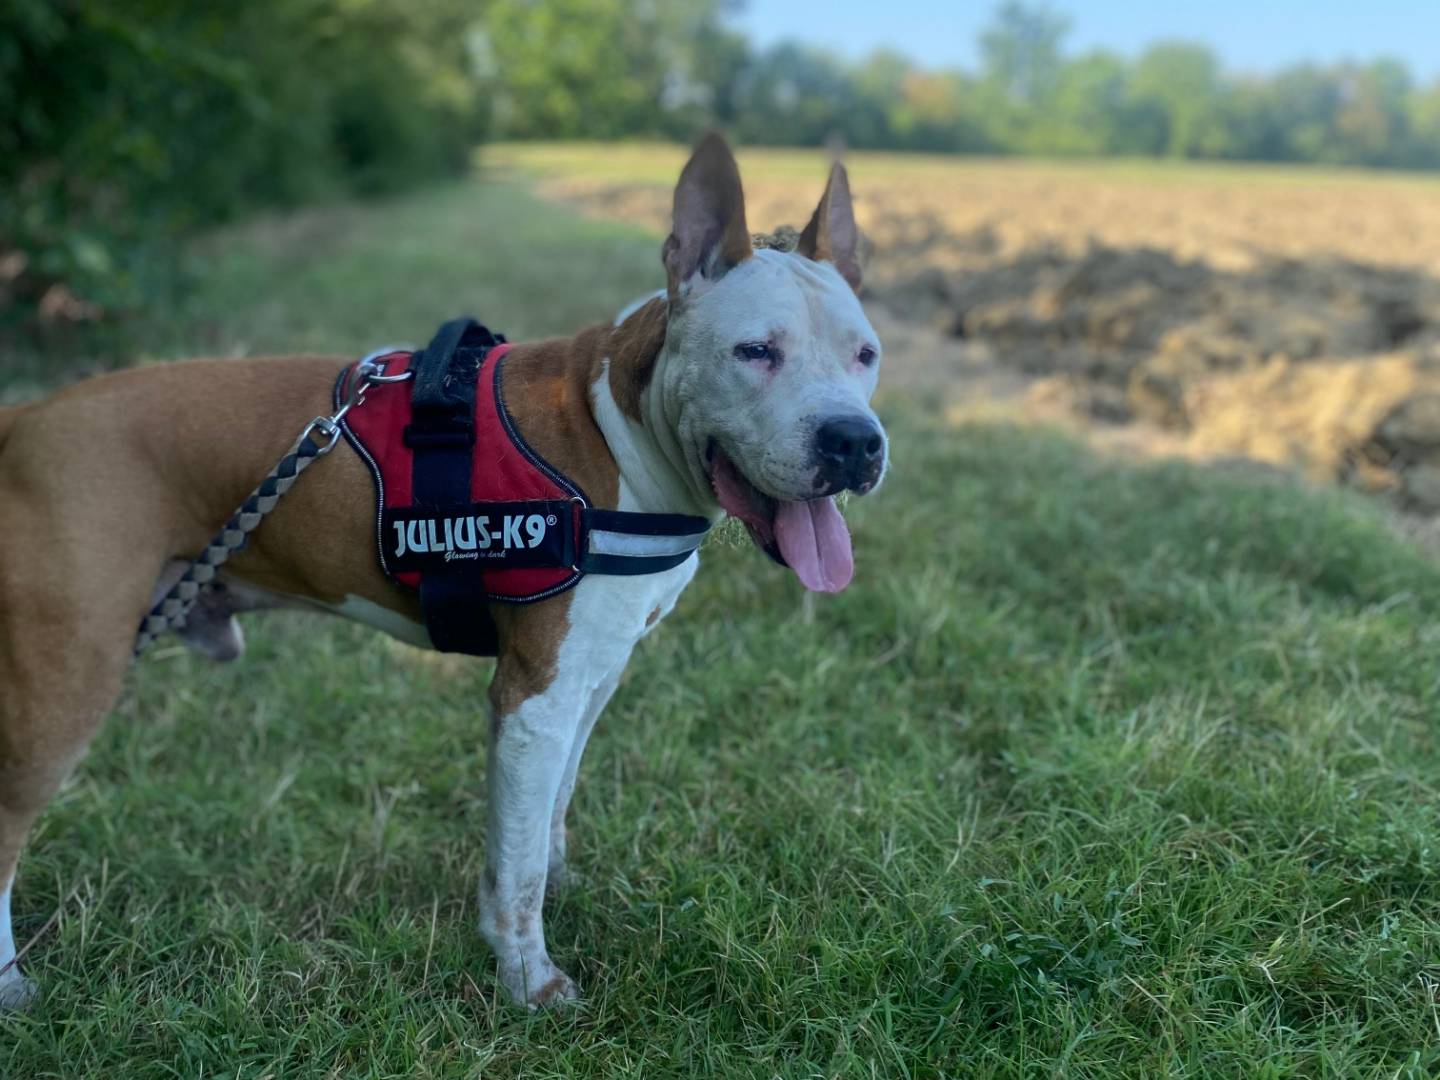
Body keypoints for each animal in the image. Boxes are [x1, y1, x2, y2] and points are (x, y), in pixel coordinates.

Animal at [0, 137, 887, 1013]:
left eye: (866, 355)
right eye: (755, 352)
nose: (855, 441)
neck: (617, 426)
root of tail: (26, 421)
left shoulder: (589, 680)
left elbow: (551, 809)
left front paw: (559, 888)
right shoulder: (532, 698)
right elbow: (516, 867)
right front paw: (528, 978)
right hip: (65, 686)